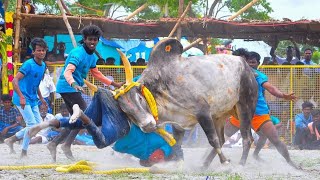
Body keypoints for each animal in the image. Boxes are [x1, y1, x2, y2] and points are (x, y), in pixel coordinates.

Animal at [115, 38, 258, 167]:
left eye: (139, 98)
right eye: (125, 111)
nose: (147, 125)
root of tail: (246, 66)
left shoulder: (203, 112)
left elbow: (213, 140)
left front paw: (225, 162)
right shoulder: (178, 123)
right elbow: (177, 144)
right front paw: (178, 163)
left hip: (245, 107)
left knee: (247, 138)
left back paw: (240, 164)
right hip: (219, 115)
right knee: (223, 139)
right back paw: (205, 164)